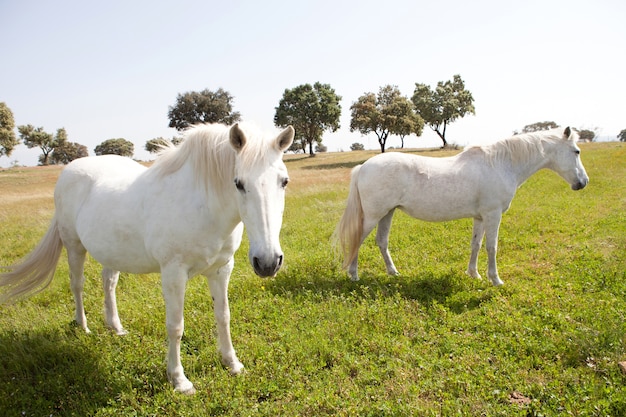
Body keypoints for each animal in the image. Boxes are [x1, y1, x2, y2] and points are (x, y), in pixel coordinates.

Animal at [0, 121, 292, 394]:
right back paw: (83, 327)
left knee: (108, 283)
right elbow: (175, 326)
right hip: (74, 246)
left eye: (284, 181)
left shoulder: (222, 269)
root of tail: (70, 169)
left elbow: (223, 316)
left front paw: (232, 364)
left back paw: (116, 327)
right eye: (238, 183)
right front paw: (179, 380)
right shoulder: (174, 274)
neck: (202, 204)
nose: (268, 262)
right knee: (77, 285)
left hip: (112, 252)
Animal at [336, 125, 584, 284]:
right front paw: (495, 279)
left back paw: (393, 272)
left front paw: (474, 274)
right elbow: (491, 246)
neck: (500, 164)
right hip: (373, 216)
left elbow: (476, 244)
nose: (583, 182)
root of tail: (363, 166)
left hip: (387, 213)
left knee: (382, 242)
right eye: (577, 151)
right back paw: (354, 275)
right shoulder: (493, 215)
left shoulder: (480, 217)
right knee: (357, 240)